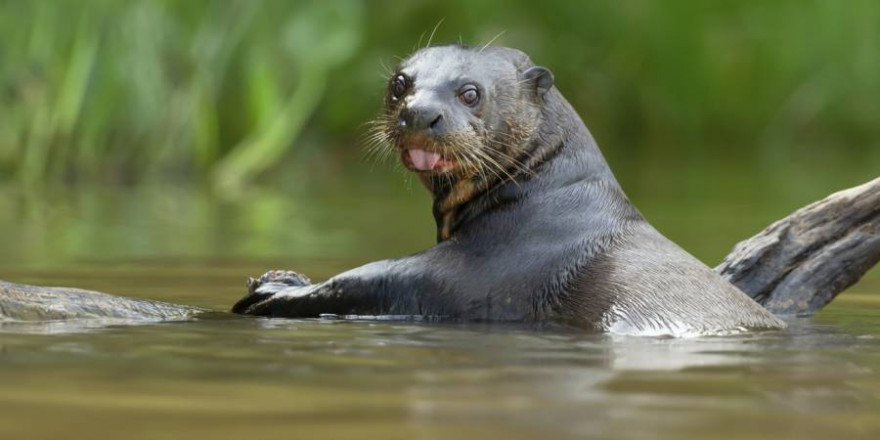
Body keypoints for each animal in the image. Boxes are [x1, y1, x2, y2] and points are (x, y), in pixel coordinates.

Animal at [232, 44, 784, 336]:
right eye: (400, 83)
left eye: (469, 92)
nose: (420, 113)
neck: (545, 197)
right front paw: (282, 276)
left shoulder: (495, 270)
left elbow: (377, 277)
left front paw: (279, 290)